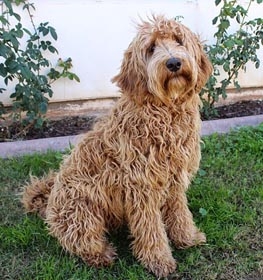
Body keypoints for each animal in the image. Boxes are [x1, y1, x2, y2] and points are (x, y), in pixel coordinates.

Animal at [21, 15, 213, 278]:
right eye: (151, 48)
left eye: (178, 40)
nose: (174, 62)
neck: (163, 111)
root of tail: (48, 202)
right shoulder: (142, 187)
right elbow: (151, 228)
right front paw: (159, 260)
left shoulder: (175, 179)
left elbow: (179, 212)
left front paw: (187, 238)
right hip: (82, 210)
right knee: (79, 240)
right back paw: (102, 254)